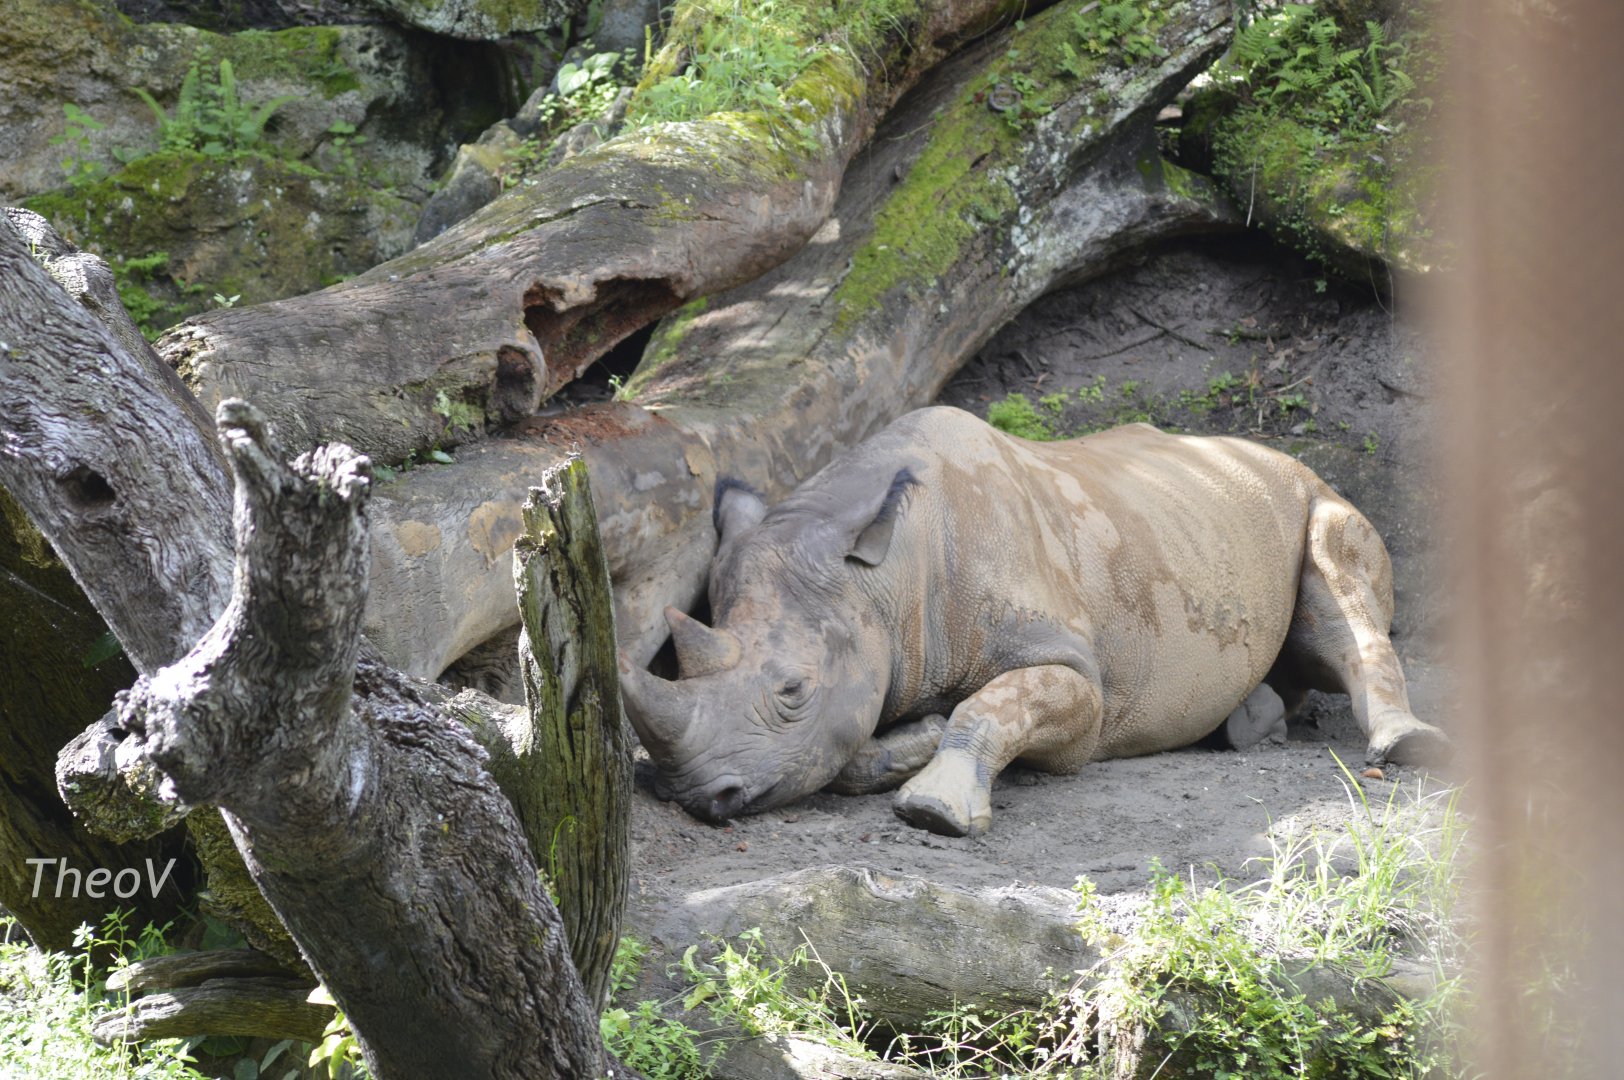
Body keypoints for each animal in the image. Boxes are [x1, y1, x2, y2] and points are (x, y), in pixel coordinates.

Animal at [619, 406, 1448, 837]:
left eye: (792, 691)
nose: (699, 796)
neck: (882, 581)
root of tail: (1274, 453)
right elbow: (857, 745)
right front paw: (911, 739)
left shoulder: (1081, 681)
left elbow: (992, 706)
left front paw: (935, 807)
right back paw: (1251, 726)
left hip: (1313, 493)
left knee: (1343, 597)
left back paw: (1401, 748)